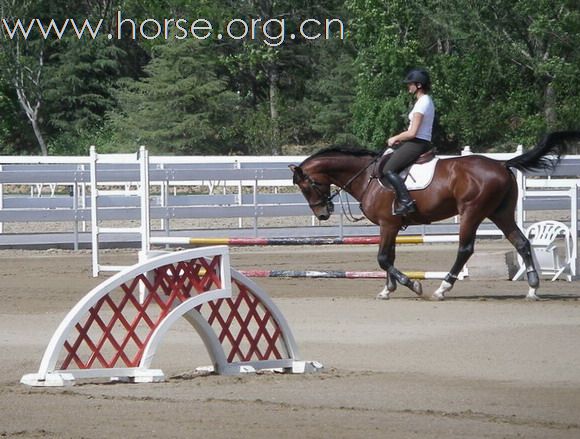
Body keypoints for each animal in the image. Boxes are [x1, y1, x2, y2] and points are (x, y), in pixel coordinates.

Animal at [288, 132, 576, 300]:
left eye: (305, 186)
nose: (322, 213)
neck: (367, 176)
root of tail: (501, 164)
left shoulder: (388, 224)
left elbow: (383, 258)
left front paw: (411, 285)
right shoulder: (391, 226)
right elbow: (389, 257)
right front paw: (387, 289)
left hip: (472, 212)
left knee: (465, 249)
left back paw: (443, 288)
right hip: (500, 213)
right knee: (522, 243)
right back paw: (532, 288)